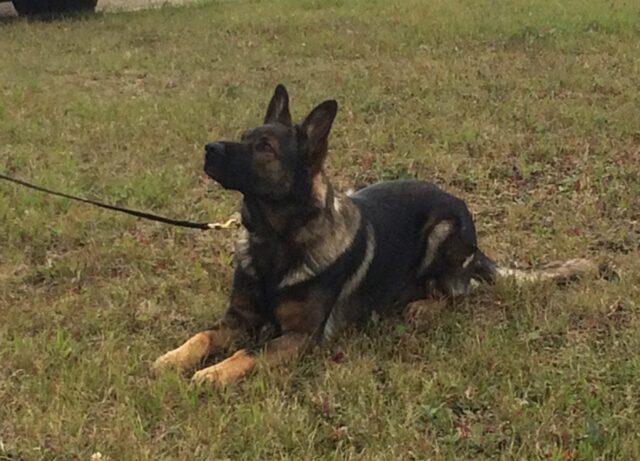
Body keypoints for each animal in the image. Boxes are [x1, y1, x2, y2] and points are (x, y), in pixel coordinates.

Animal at [152, 84, 596, 382]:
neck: (277, 242)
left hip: (444, 230)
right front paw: (173, 358)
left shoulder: (299, 337)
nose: (208, 149)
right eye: (245, 137)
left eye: (265, 148)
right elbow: (203, 336)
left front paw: (214, 374)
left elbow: (248, 352)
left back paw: (424, 305)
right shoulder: (237, 320)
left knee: (459, 292)